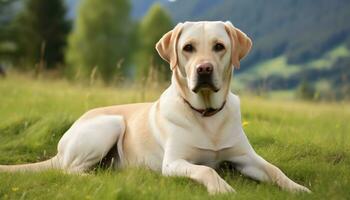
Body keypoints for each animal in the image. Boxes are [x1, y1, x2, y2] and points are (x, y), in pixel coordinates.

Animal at [0, 21, 312, 194]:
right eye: (188, 48)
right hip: (110, 124)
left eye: (219, 46)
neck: (206, 114)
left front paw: (299, 188)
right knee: (69, 171)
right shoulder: (173, 163)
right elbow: (206, 171)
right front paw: (222, 188)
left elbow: (275, 170)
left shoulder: (246, 157)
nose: (204, 69)